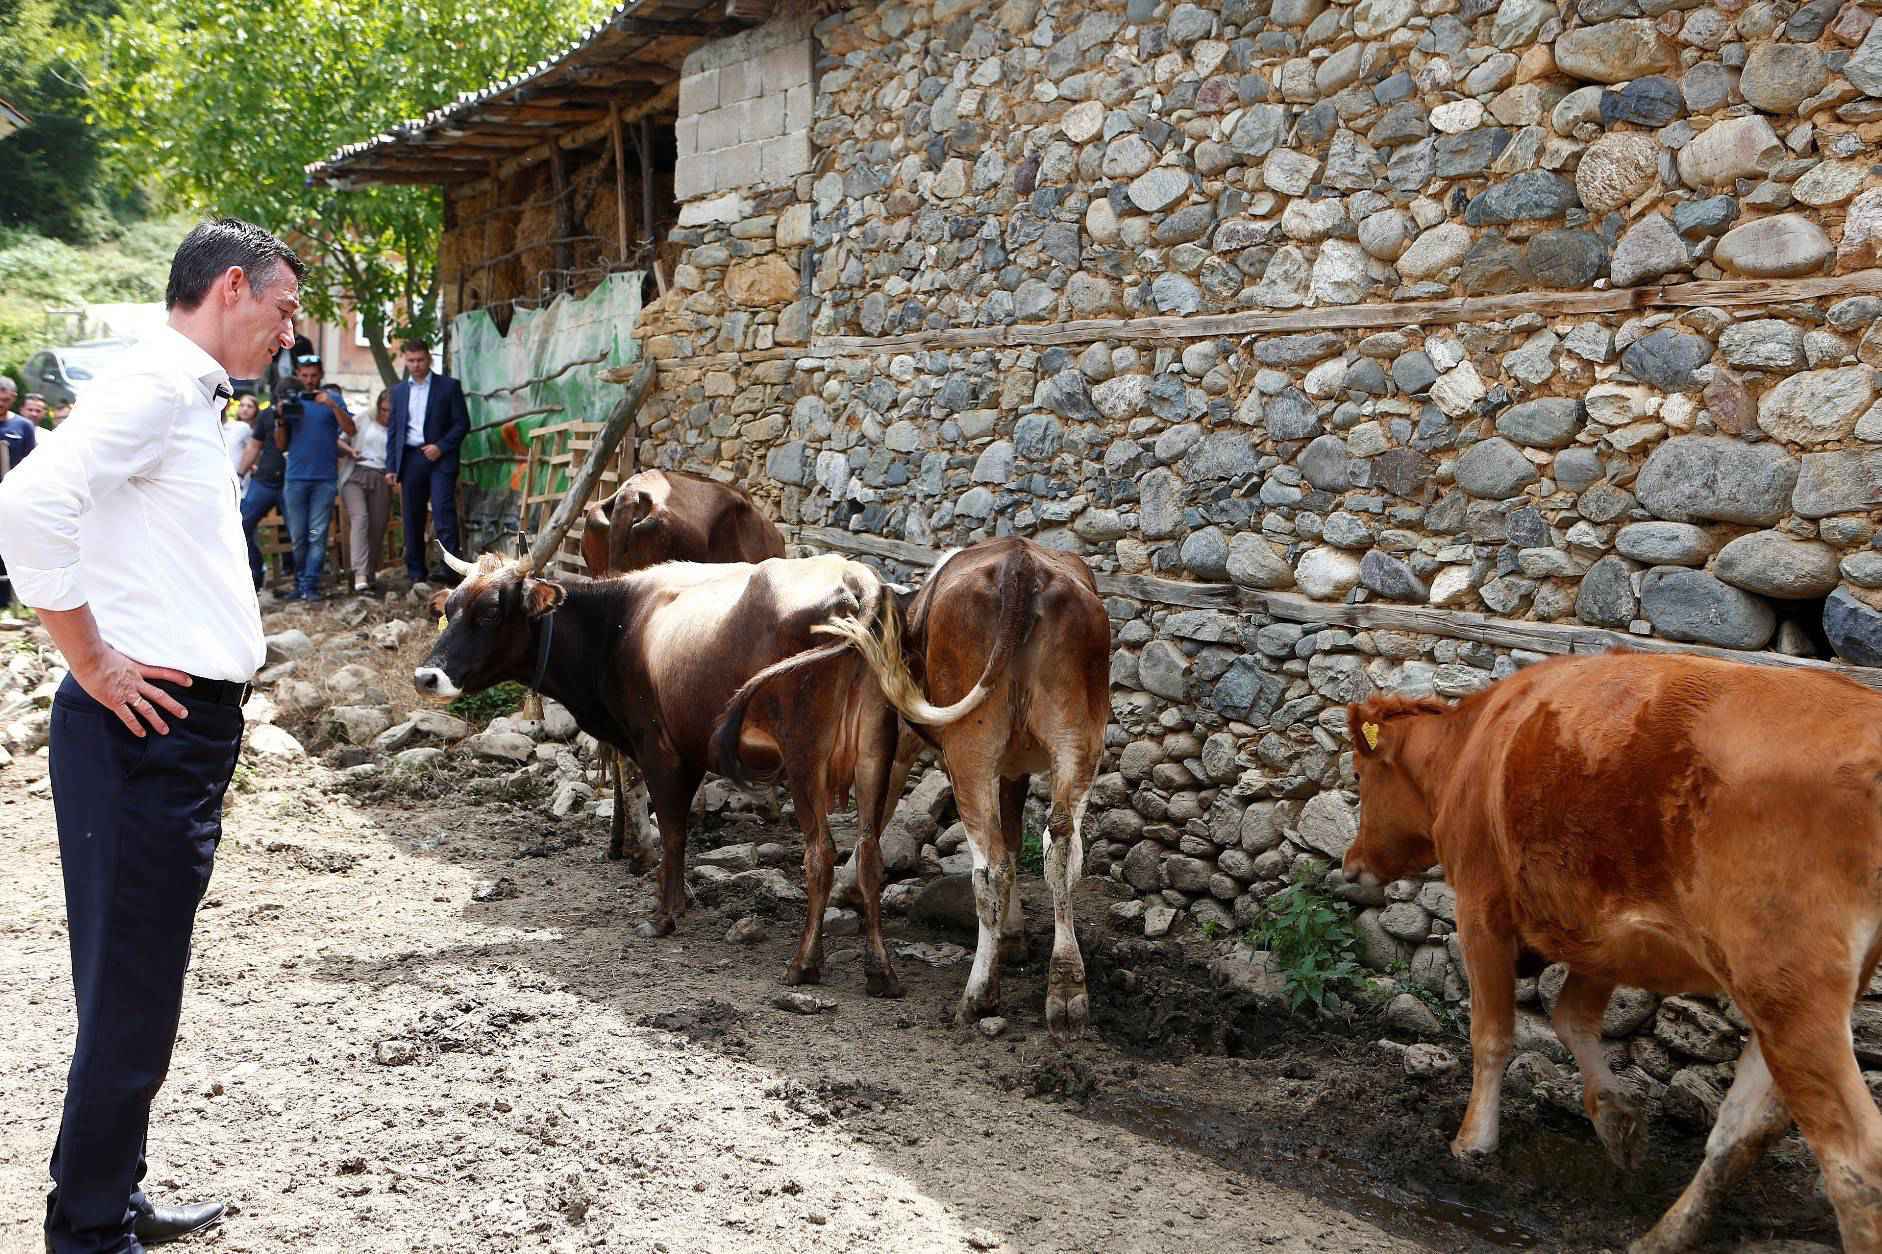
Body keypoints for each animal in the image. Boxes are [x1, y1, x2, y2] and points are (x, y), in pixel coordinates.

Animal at [820, 538, 1099, 1031]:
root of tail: (1020, 561)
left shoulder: (901, 740)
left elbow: (881, 808)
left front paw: (847, 884)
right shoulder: (1014, 769)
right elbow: (1014, 836)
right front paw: (1015, 937)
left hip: (971, 748)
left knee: (991, 870)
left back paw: (978, 997)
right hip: (1078, 740)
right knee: (1062, 851)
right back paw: (1067, 991)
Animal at [1347, 647, 1882, 1250]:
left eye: (1359, 776)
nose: (1350, 863)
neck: (1469, 747)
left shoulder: (1481, 907)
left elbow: (1492, 1035)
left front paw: (1473, 1141)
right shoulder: (1601, 935)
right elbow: (1571, 1019)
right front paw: (1616, 1117)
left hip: (1787, 983)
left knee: (1855, 1159)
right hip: (1792, 995)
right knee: (1743, 1126)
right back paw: (1664, 1234)